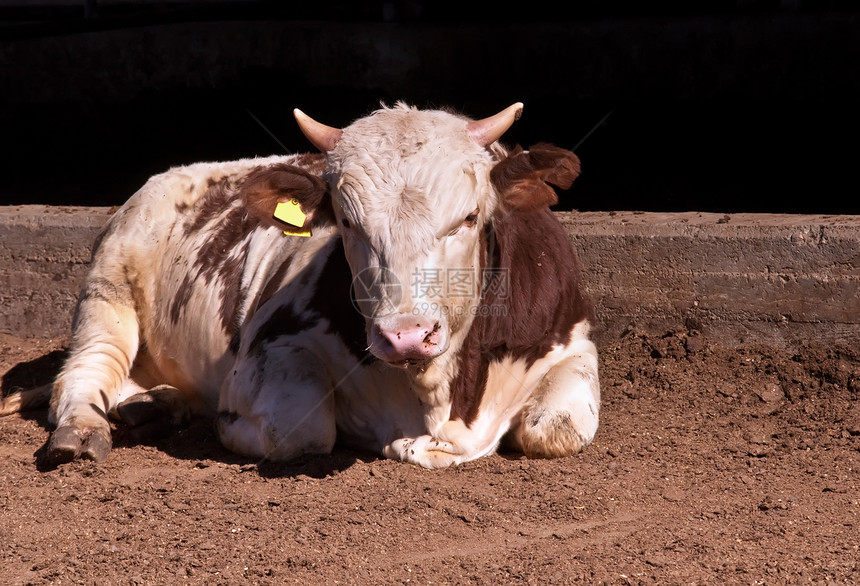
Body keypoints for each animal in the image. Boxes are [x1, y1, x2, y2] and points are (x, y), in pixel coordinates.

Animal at [3, 100, 600, 466]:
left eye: (471, 217)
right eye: (348, 221)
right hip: (108, 289)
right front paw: (228, 422)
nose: (406, 335)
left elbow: (555, 430)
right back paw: (83, 431)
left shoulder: (574, 345)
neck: (438, 398)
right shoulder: (272, 346)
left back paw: (156, 405)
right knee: (83, 373)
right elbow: (300, 431)